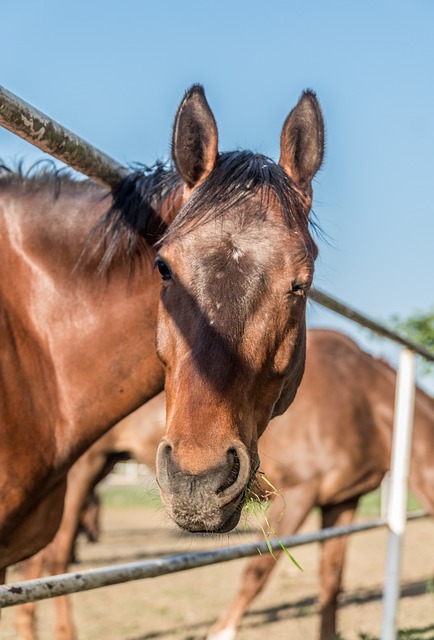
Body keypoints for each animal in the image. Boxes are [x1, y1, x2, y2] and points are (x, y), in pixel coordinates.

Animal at [207, 330, 434, 640]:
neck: (364, 403)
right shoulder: (298, 493)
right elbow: (259, 568)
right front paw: (221, 632)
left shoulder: (341, 501)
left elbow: (331, 577)